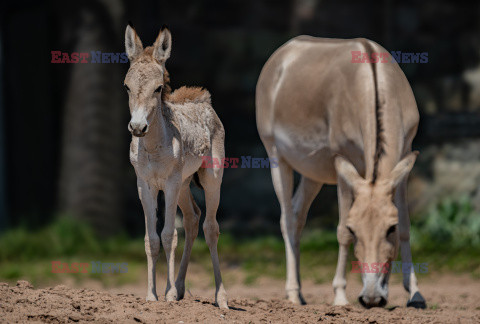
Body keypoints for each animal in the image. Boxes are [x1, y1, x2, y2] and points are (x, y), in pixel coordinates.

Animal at [124, 23, 229, 308]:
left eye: (158, 88)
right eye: (127, 87)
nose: (137, 127)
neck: (153, 148)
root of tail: (204, 100)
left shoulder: (169, 183)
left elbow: (169, 235)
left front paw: (168, 296)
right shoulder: (144, 185)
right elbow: (151, 239)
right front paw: (152, 295)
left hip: (211, 178)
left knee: (211, 228)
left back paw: (221, 297)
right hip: (184, 184)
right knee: (193, 219)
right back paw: (180, 287)